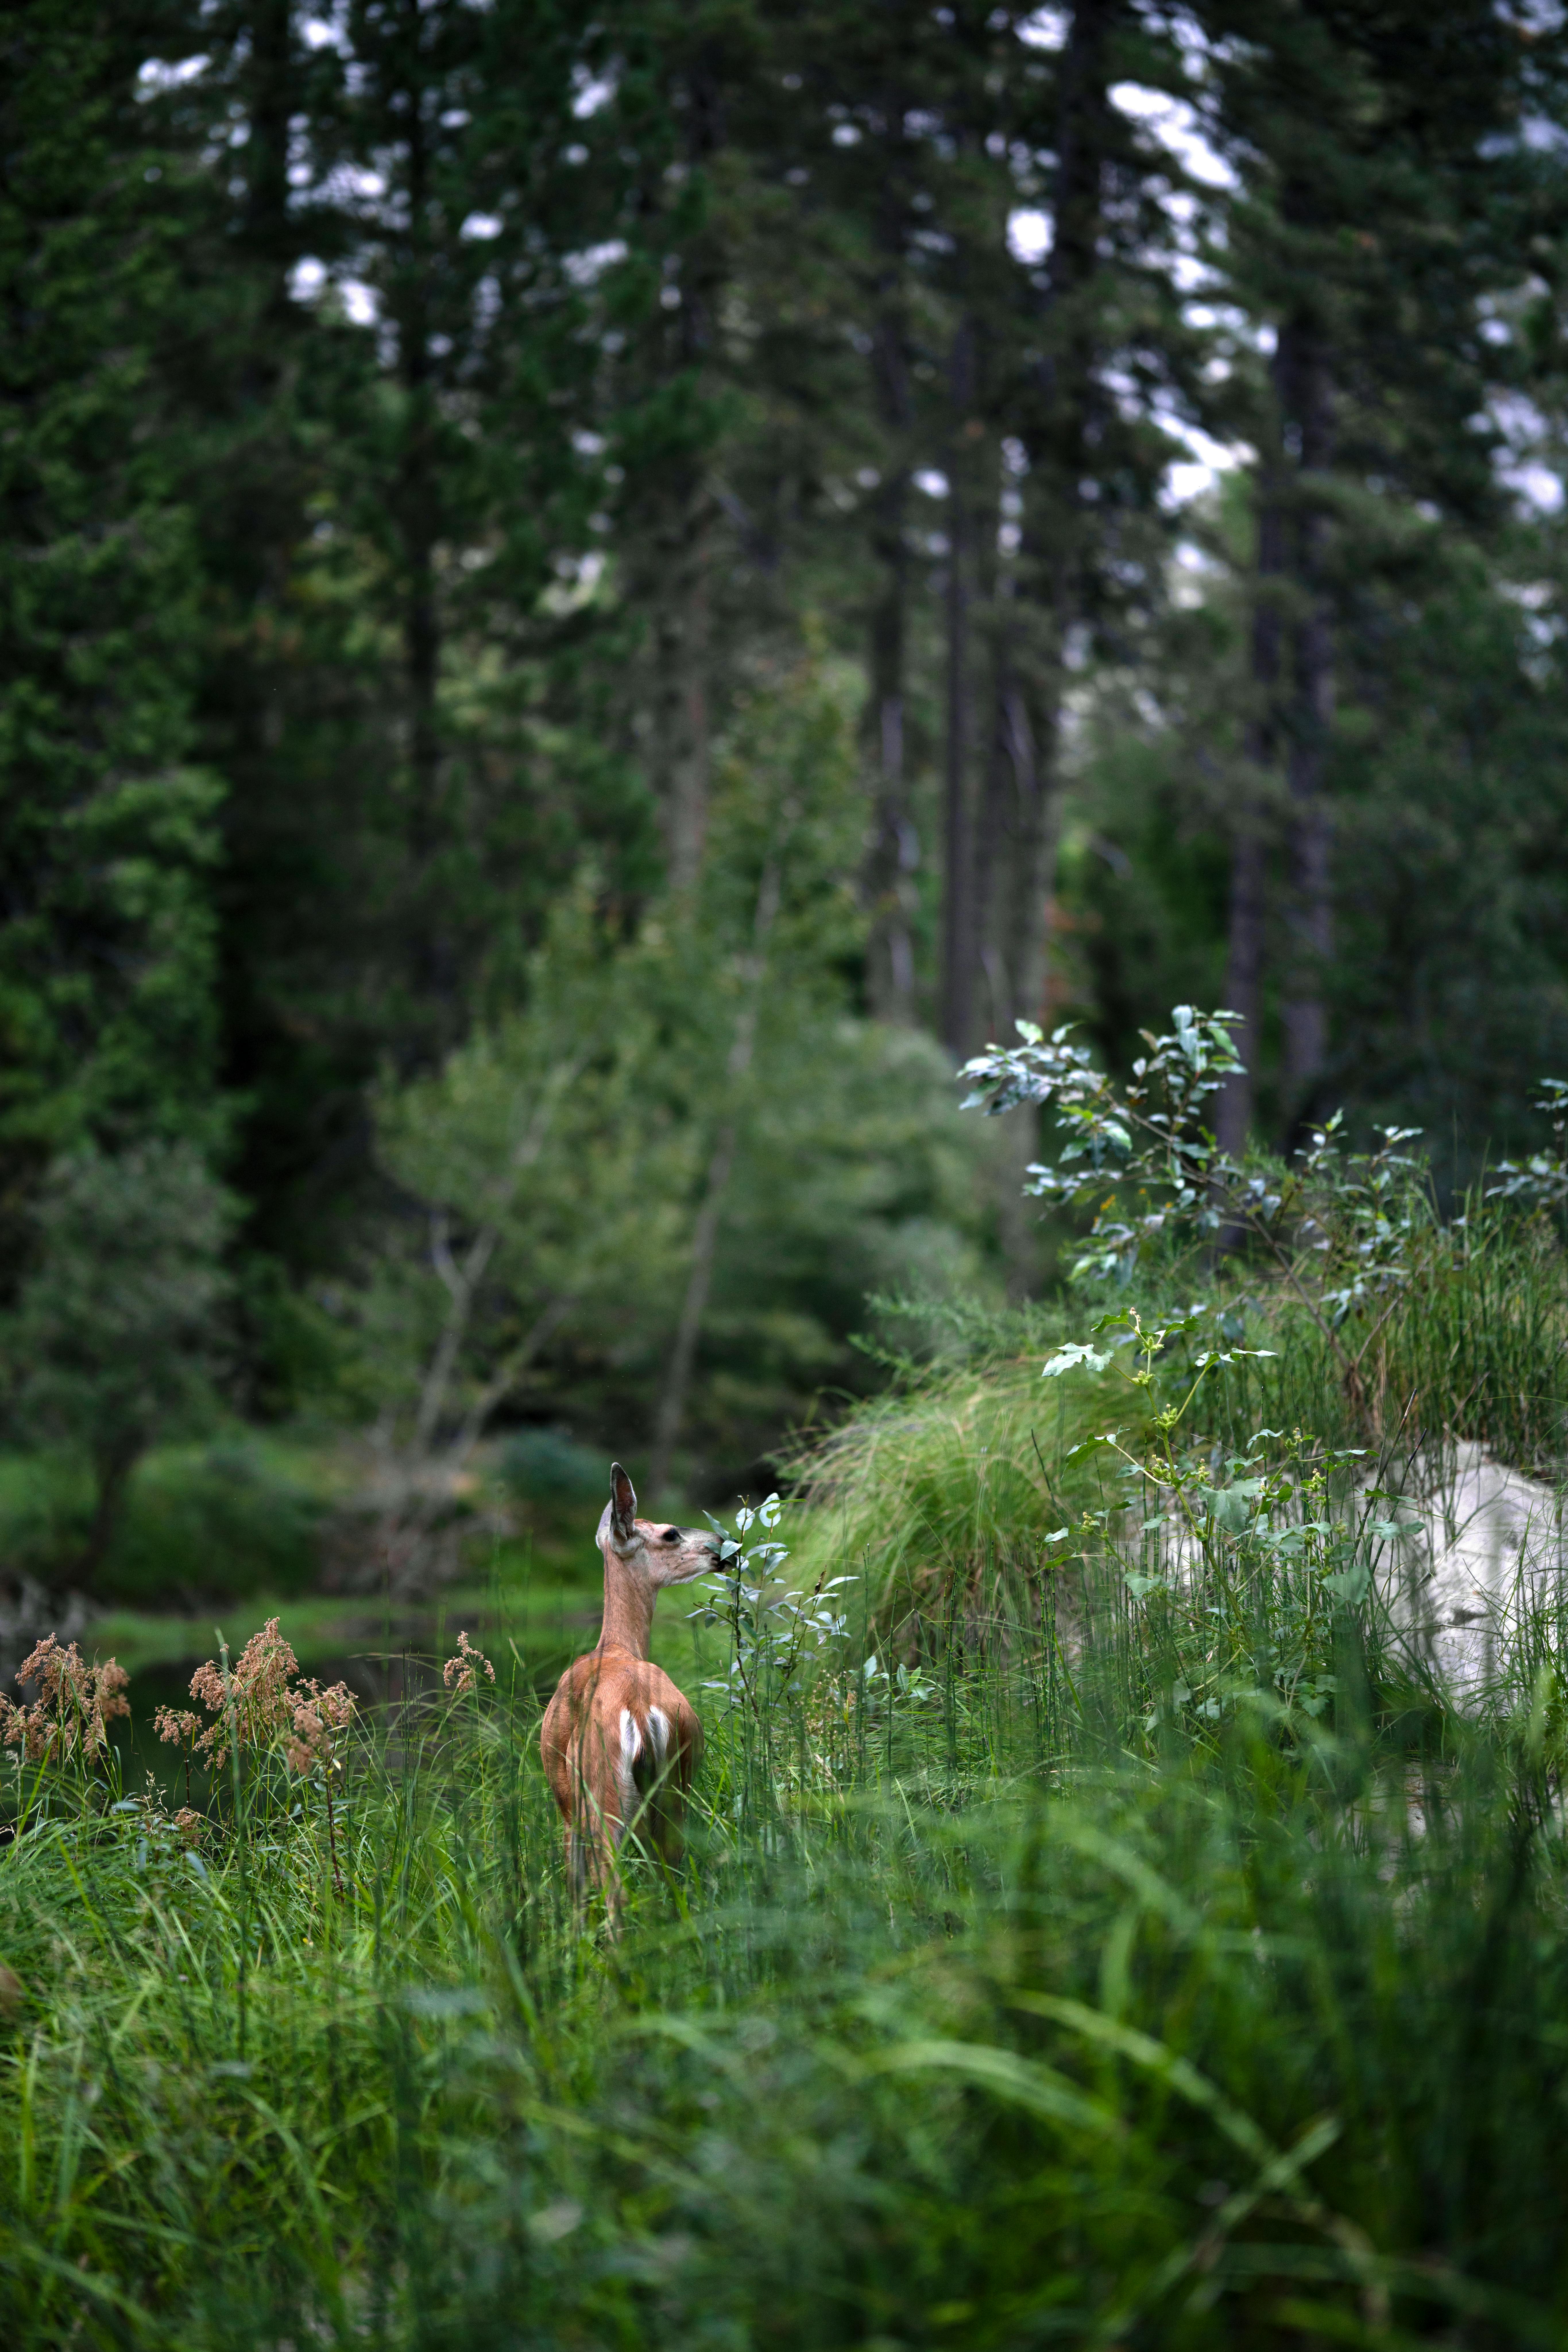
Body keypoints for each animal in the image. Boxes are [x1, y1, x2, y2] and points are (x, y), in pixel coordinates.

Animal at [540, 1462, 718, 1924]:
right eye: (670, 1533)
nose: (720, 1547)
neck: (616, 1647)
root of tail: (639, 1709)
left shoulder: (565, 1803)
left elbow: (575, 1888)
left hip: (603, 1792)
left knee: (613, 1889)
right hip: (676, 1787)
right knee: (673, 1880)